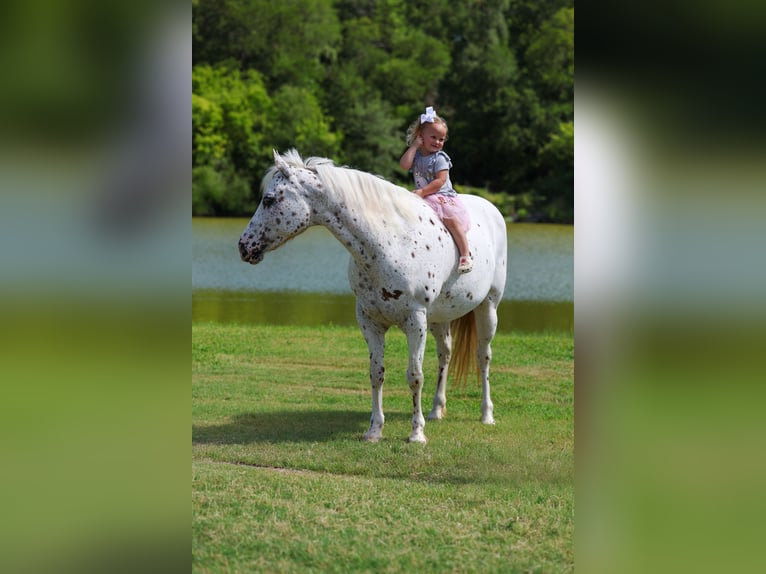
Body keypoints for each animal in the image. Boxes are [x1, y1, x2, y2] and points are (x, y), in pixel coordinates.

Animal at [238, 150, 507, 443]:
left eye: (268, 199)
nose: (243, 246)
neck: (390, 241)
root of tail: (491, 209)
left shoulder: (415, 322)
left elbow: (415, 376)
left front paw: (416, 433)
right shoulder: (370, 321)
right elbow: (376, 374)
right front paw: (374, 430)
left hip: (488, 307)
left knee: (483, 356)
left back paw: (487, 415)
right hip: (440, 317)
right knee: (445, 354)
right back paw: (437, 410)